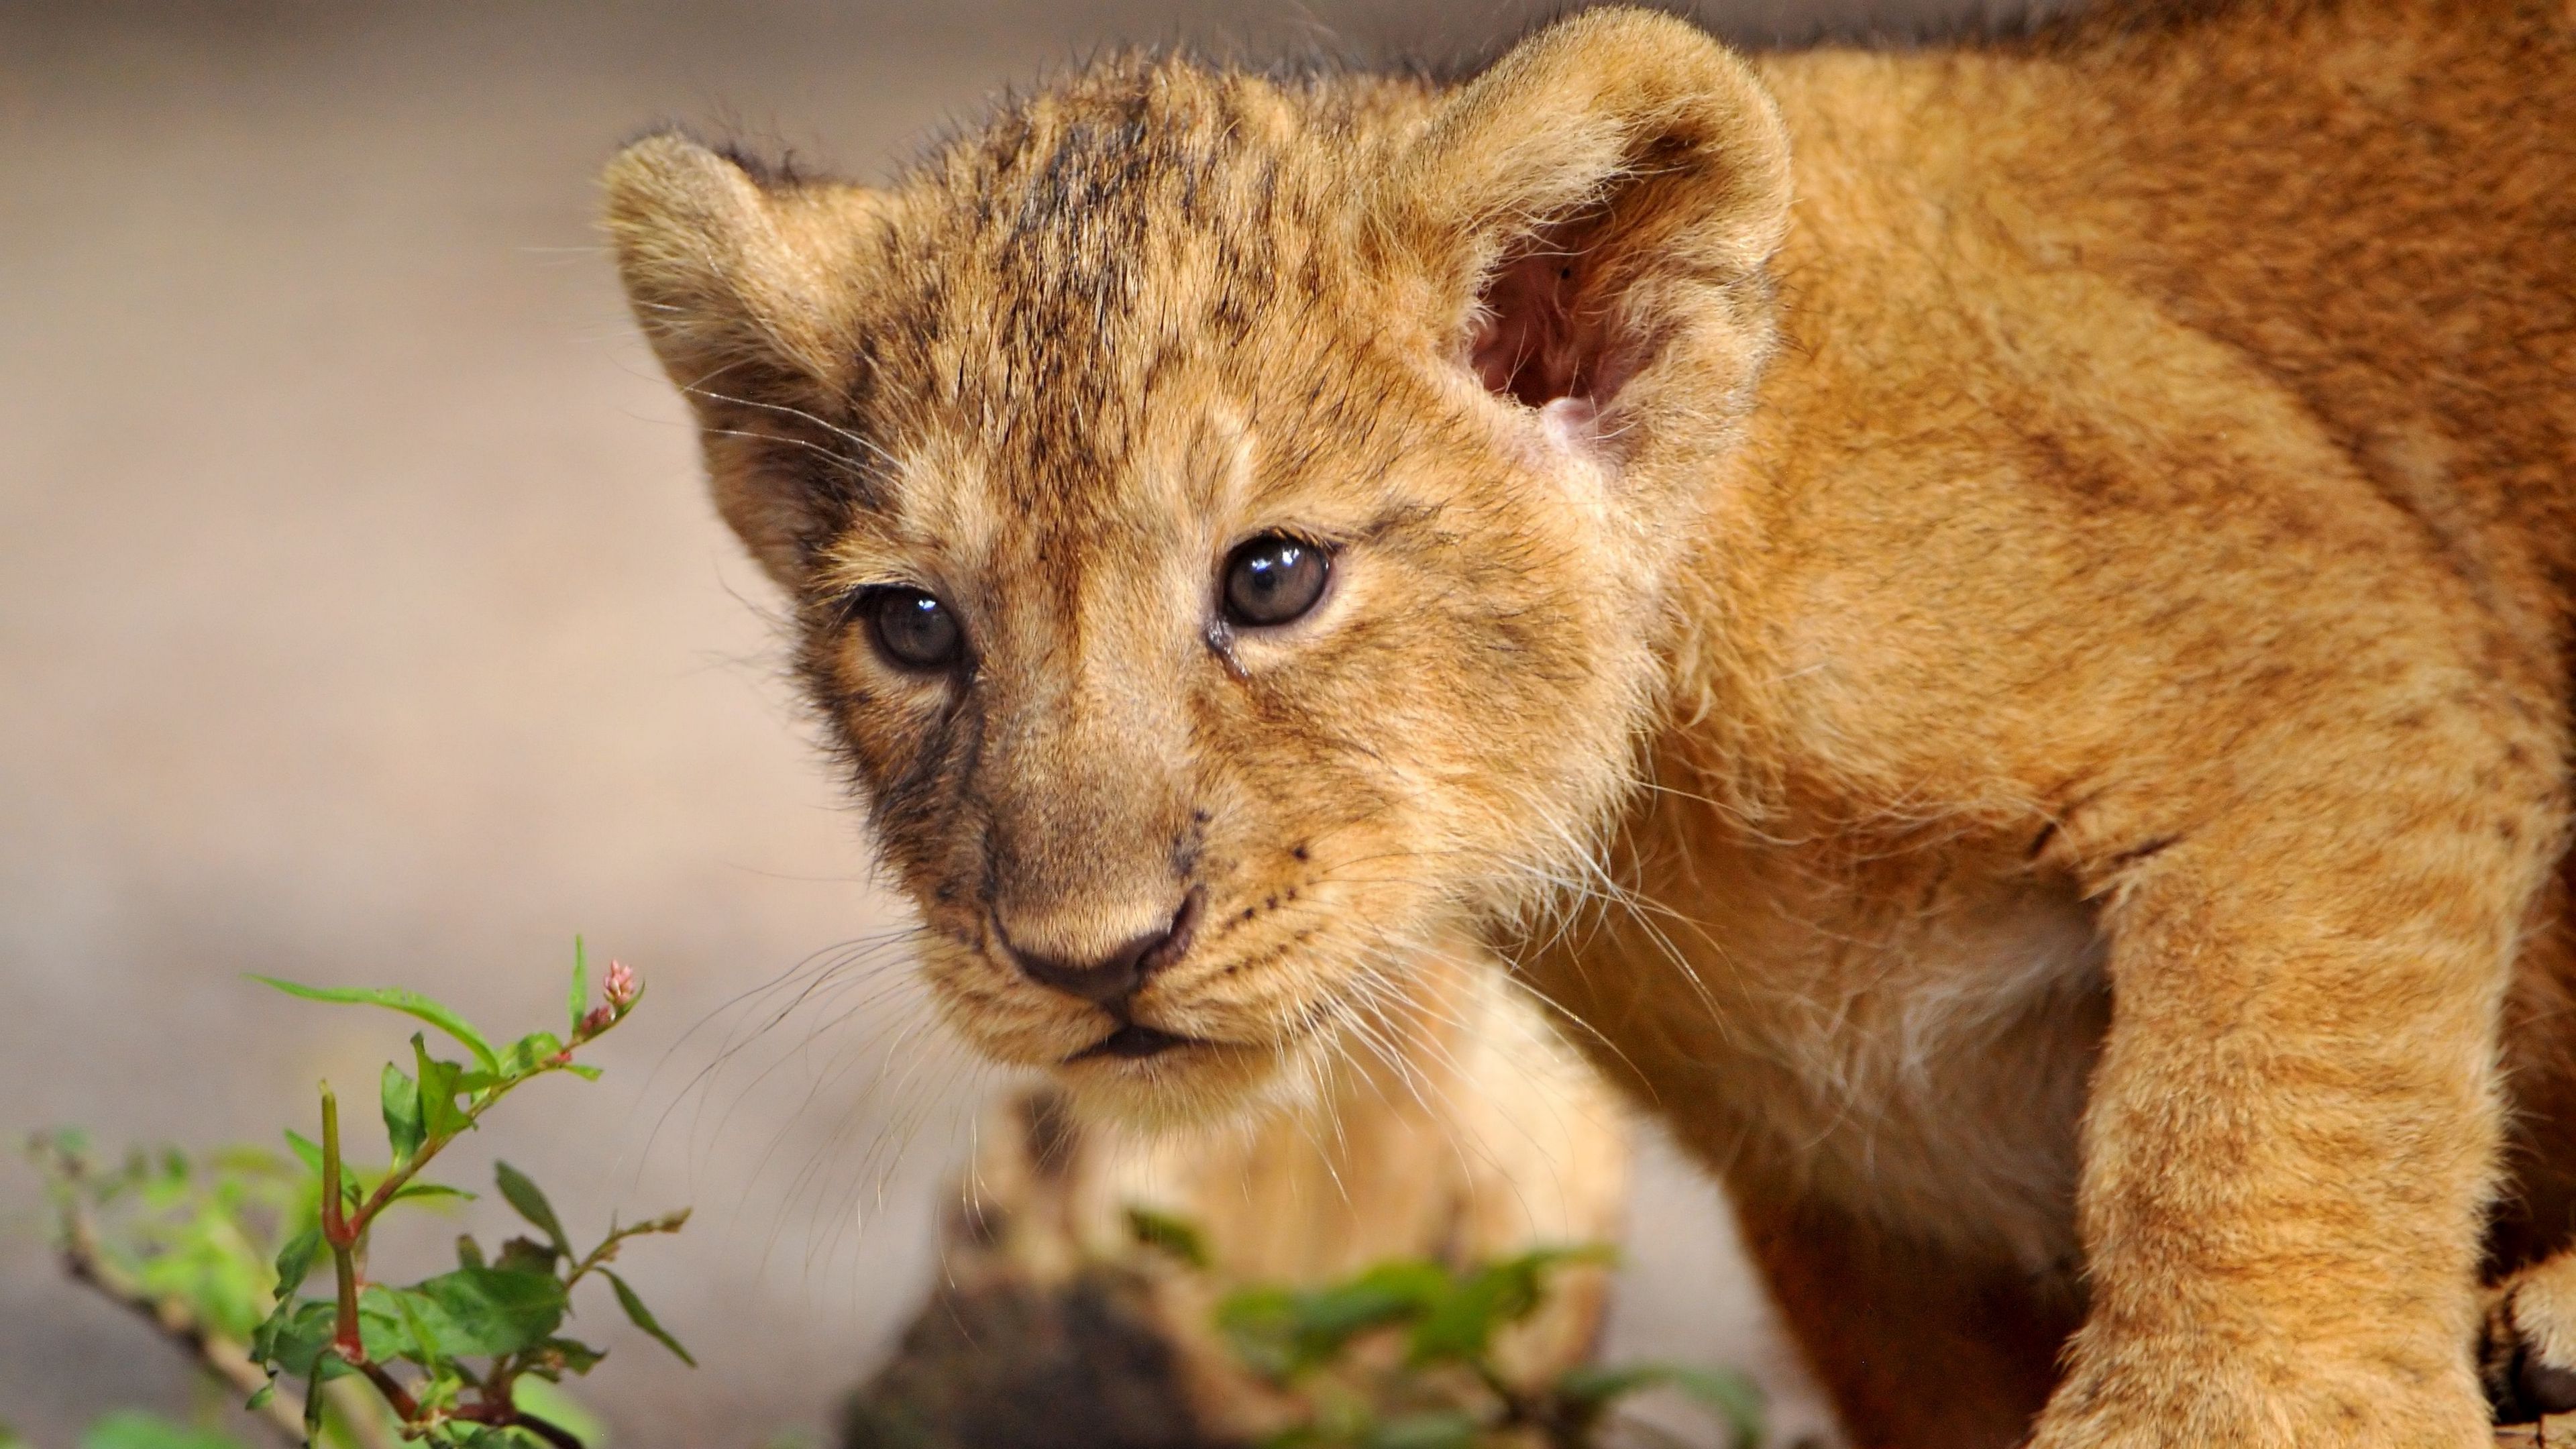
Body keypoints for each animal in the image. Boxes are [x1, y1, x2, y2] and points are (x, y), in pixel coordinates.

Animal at [600, 1, 2576, 1444]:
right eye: (914, 626)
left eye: (1270, 579)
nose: (1089, 958)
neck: (1666, 804)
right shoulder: (1862, 1201)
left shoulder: (2332, 634)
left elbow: (2261, 1101)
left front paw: (2235, 1409)